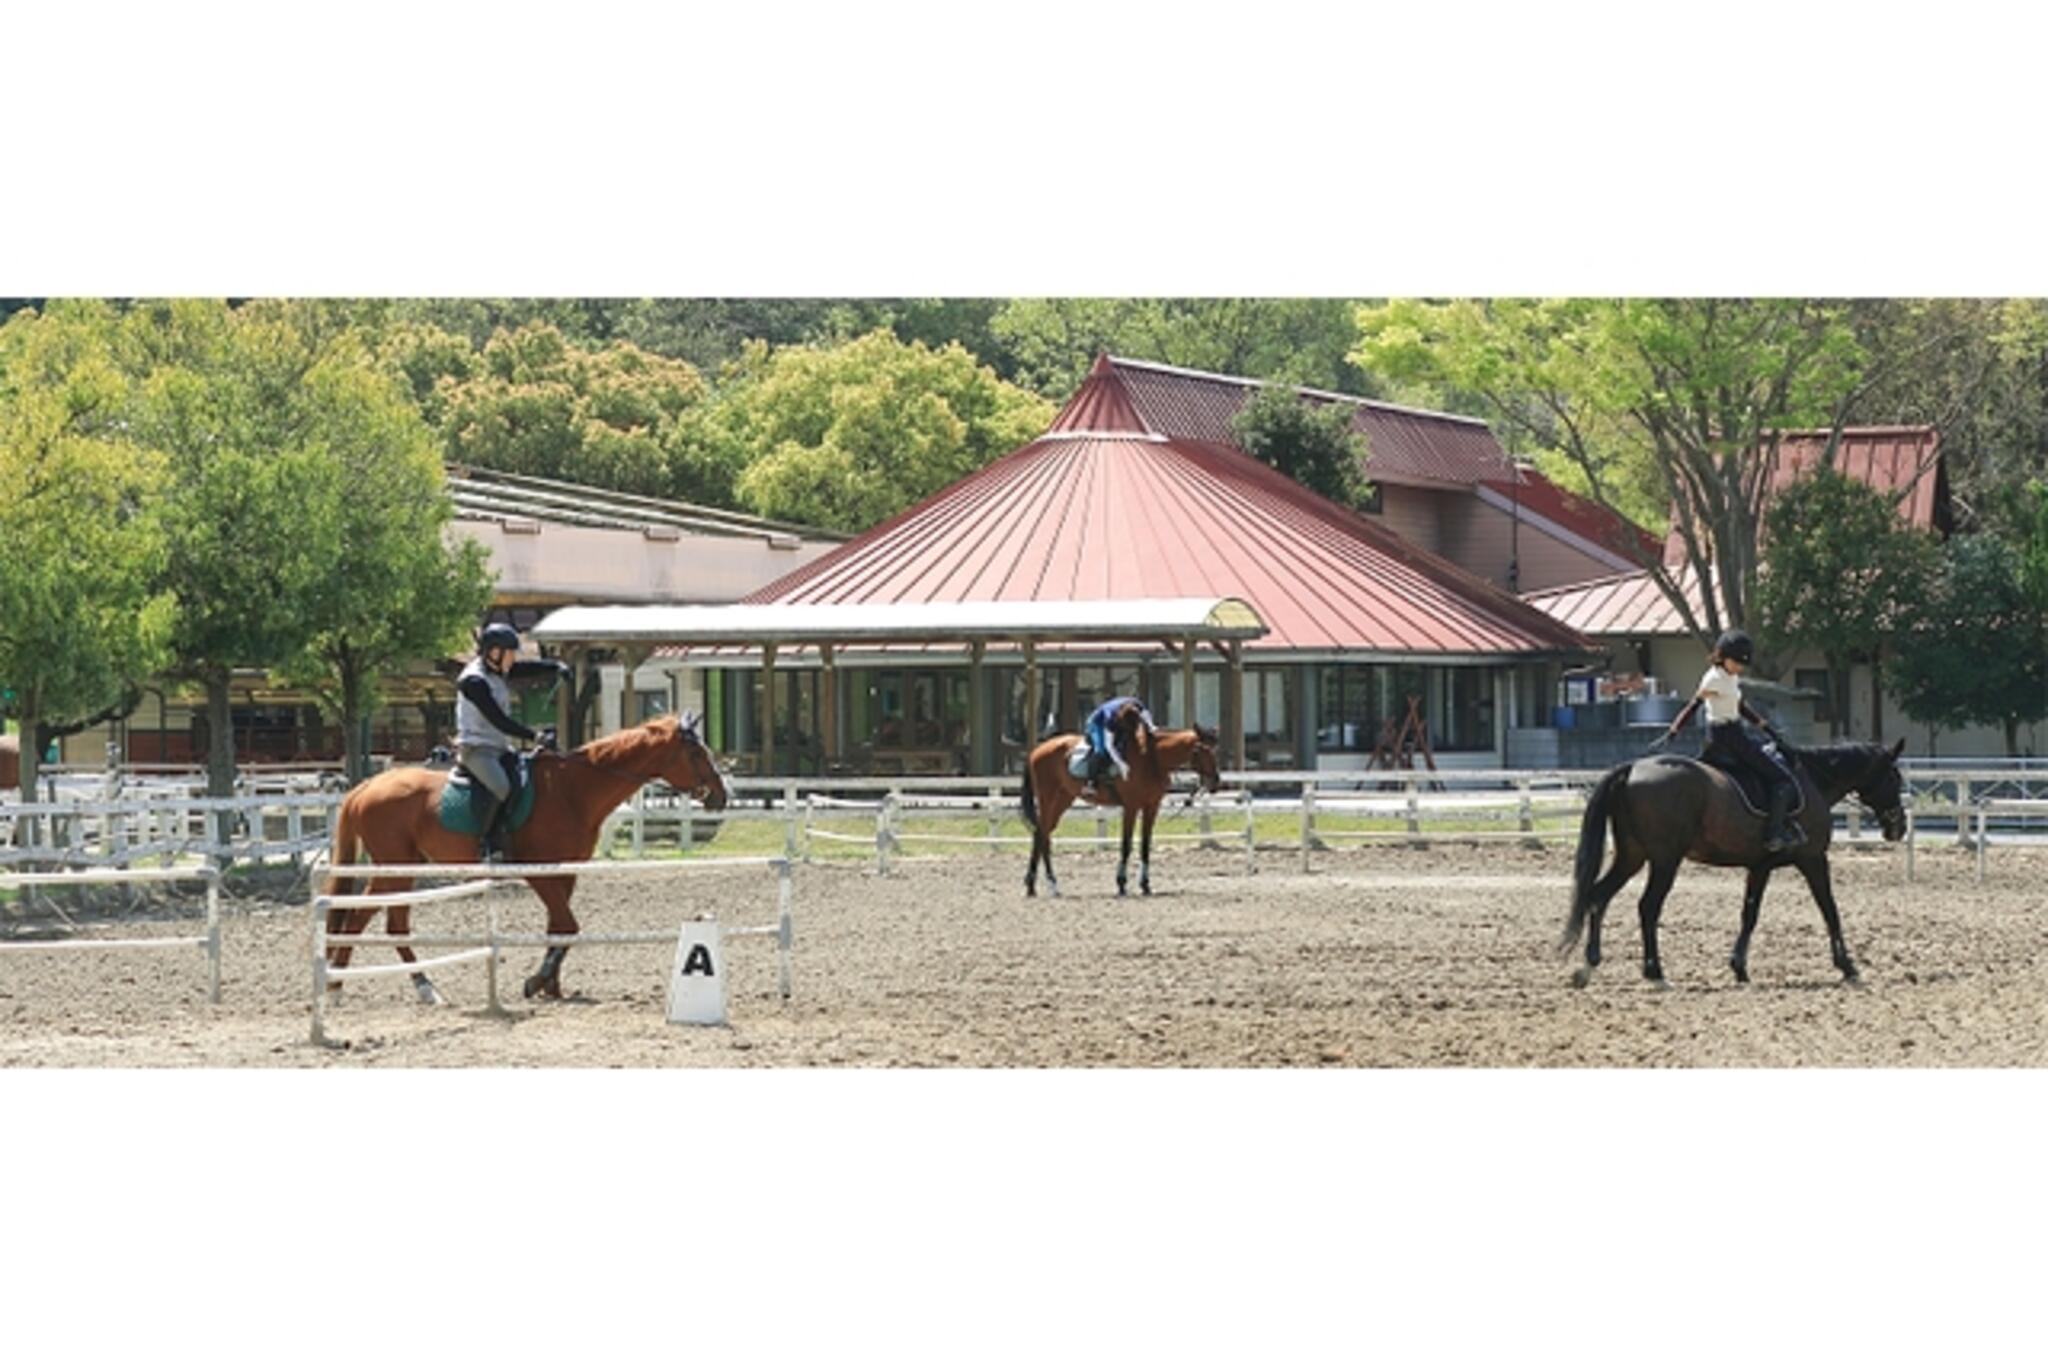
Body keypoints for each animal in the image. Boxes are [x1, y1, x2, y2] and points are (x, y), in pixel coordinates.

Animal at [319, 716, 729, 1003]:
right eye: (696, 753)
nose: (720, 795)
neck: (573, 790)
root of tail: (364, 787)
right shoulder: (540, 872)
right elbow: (569, 926)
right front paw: (536, 981)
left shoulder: (565, 873)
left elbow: (558, 927)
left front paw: (552, 987)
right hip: (394, 869)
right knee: (358, 920)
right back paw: (338, 987)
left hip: (407, 869)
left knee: (391, 924)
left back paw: (422, 987)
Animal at [1019, 720, 1212, 901]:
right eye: (1202, 750)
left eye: (1214, 750)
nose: (1215, 782)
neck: (1152, 759)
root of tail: (1037, 750)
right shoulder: (1131, 807)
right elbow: (1126, 844)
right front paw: (1121, 883)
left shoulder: (1151, 807)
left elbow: (1145, 845)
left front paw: (1145, 885)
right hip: (1048, 799)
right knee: (1042, 834)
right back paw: (1052, 884)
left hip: (1062, 800)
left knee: (1040, 834)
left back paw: (1031, 886)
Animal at [1564, 741, 1900, 987]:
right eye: (1894, 778)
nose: (1899, 828)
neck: (1813, 780)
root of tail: (1632, 768)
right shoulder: (1814, 859)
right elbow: (1830, 909)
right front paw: (1847, 966)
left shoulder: (1760, 867)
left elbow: (1749, 915)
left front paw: (1739, 968)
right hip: (1664, 860)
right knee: (1647, 907)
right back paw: (1654, 972)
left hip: (1632, 856)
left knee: (1598, 896)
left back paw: (1589, 965)